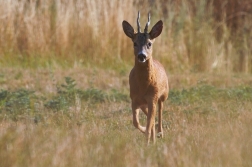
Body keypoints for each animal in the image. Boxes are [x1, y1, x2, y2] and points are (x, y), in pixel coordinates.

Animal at [122, 12, 169, 145]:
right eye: (134, 43)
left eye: (149, 43)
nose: (141, 56)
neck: (143, 86)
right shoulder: (134, 99)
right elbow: (136, 122)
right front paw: (145, 132)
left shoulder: (152, 97)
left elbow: (149, 123)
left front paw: (147, 142)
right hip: (145, 103)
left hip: (164, 94)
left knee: (160, 111)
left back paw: (160, 133)